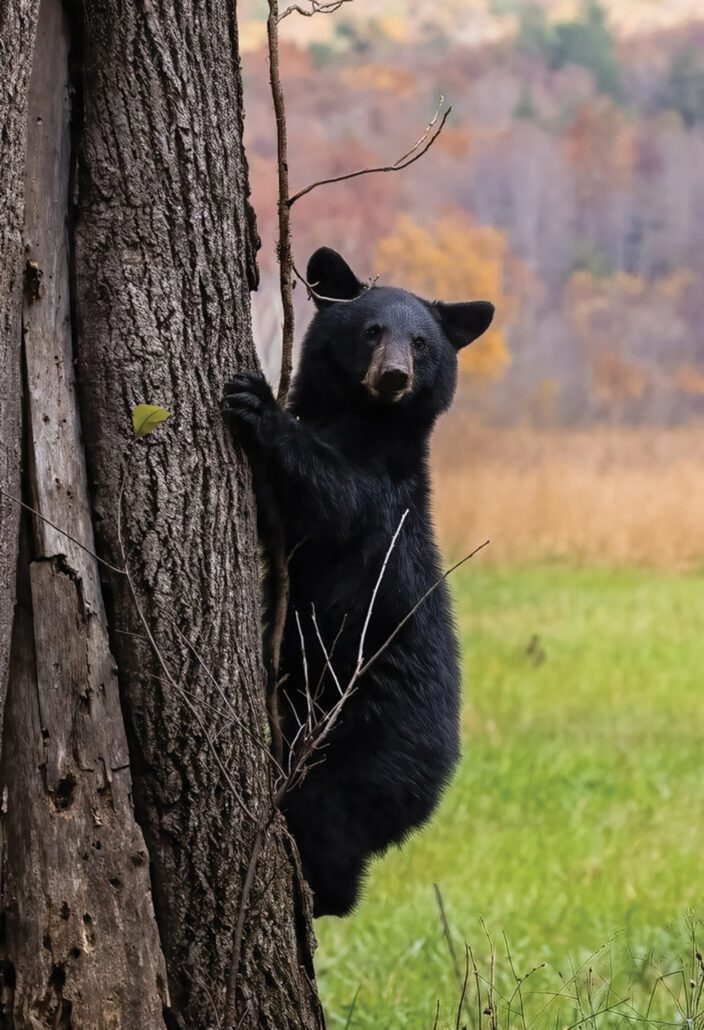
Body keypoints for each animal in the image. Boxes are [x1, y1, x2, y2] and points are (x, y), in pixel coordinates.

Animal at [224, 247, 494, 917]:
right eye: (372, 331)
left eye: (420, 342)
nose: (394, 376)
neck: (363, 422)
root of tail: (435, 788)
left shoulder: (378, 498)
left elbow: (329, 500)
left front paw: (257, 401)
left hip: (361, 750)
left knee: (329, 825)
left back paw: (318, 889)